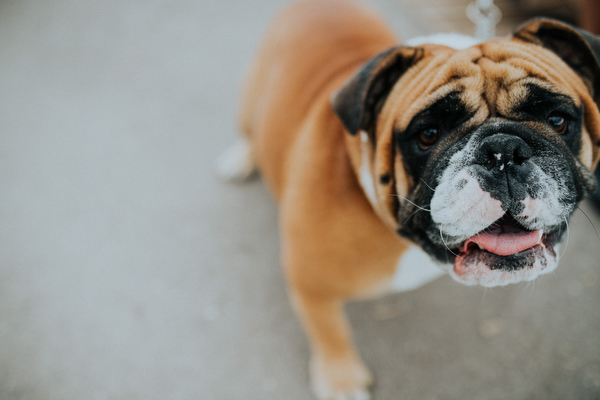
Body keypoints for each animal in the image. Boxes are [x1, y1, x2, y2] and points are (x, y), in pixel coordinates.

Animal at [218, 1, 600, 398]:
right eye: (428, 134)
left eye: (557, 120)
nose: (504, 151)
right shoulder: (310, 282)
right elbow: (329, 331)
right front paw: (341, 380)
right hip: (251, 98)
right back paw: (240, 158)